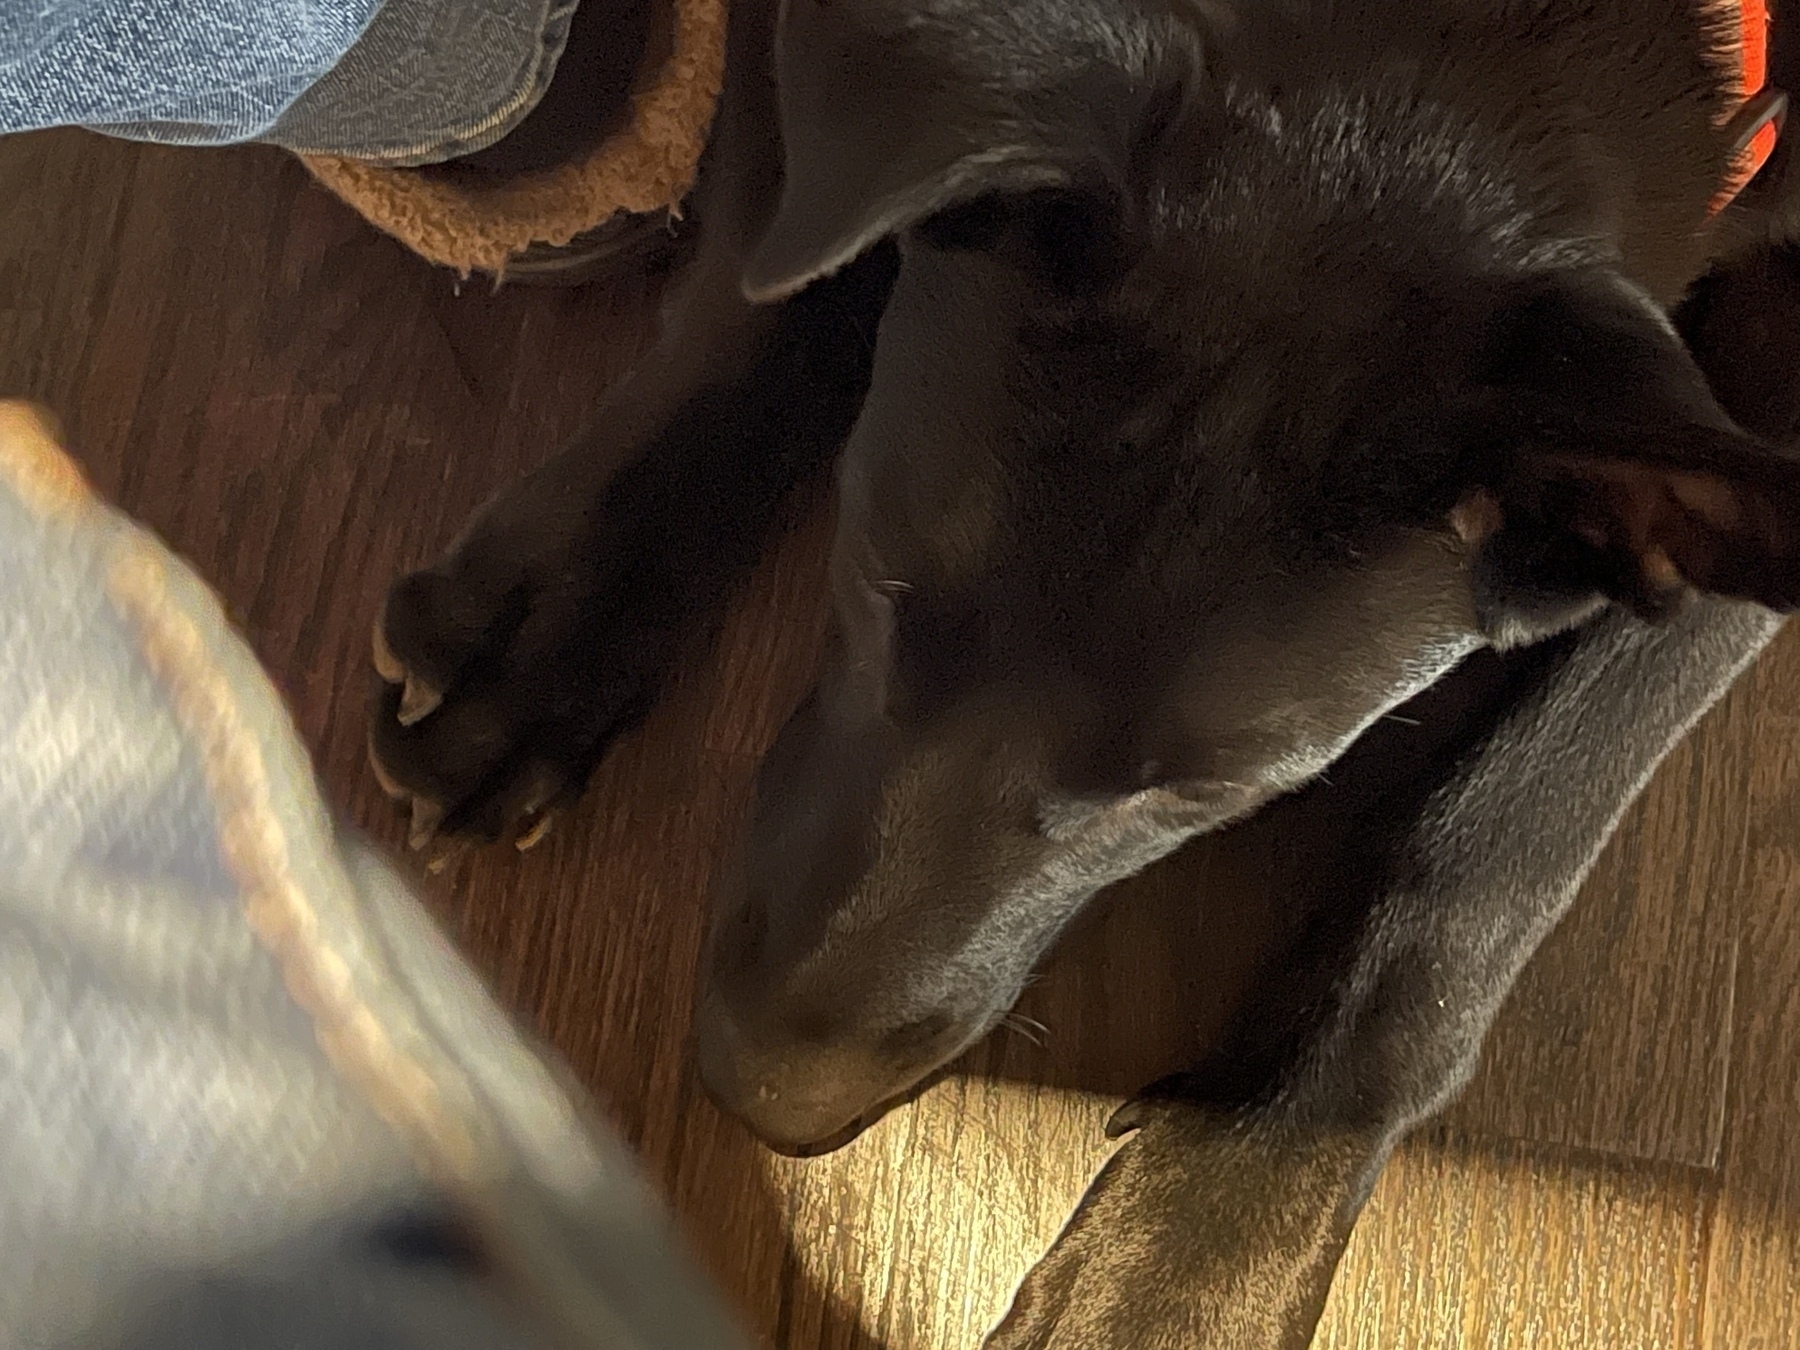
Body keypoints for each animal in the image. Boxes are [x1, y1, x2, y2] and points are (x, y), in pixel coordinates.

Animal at [365, 2, 1800, 1346]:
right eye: (871, 574)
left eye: (1206, 795)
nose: (766, 1097)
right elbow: (778, 273)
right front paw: (540, 631)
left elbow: (1506, 827)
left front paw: (1212, 1231)